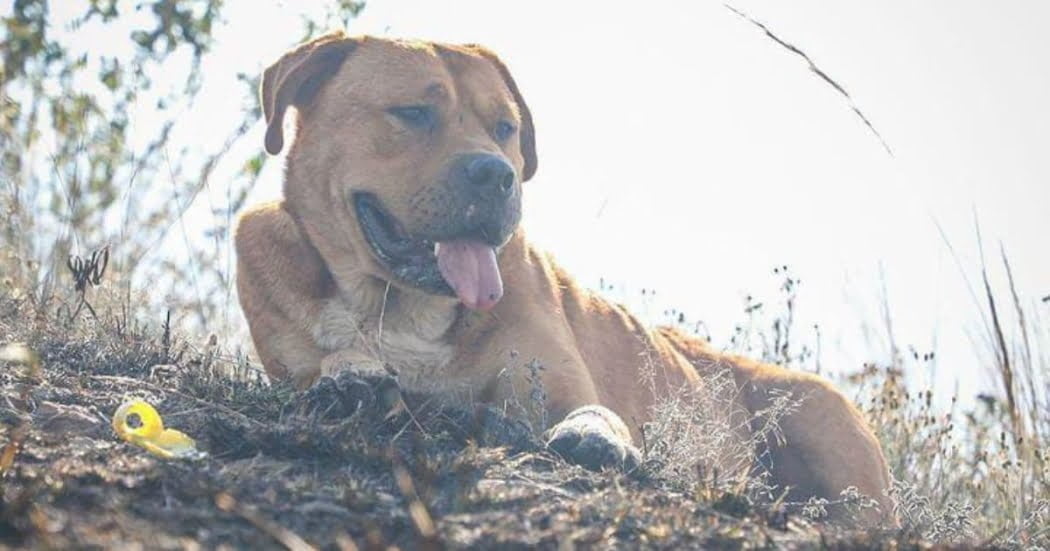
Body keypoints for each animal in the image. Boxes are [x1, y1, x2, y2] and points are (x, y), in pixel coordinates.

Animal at [238, 31, 894, 524]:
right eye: (412, 113)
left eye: (504, 128)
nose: (496, 174)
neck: (405, 307)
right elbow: (331, 361)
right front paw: (350, 374)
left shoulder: (557, 387)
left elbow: (595, 412)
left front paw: (600, 439)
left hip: (826, 427)